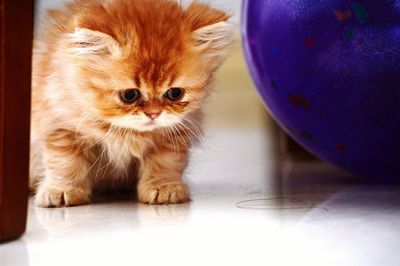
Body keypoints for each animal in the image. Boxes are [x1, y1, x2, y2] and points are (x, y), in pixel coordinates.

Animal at [31, 0, 233, 208]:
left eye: (174, 93)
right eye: (129, 95)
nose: (153, 114)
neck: (128, 133)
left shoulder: (175, 132)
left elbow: (165, 163)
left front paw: (163, 187)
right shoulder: (60, 126)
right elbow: (64, 163)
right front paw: (61, 191)